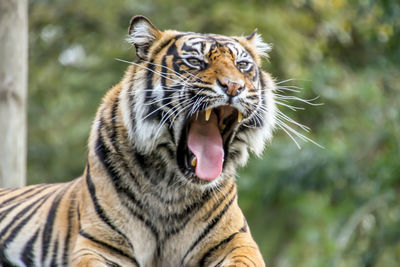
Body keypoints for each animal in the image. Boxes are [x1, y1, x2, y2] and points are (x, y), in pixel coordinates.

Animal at [0, 15, 276, 266]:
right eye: (195, 62)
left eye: (243, 65)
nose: (234, 87)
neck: (172, 188)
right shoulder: (102, 244)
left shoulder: (235, 240)